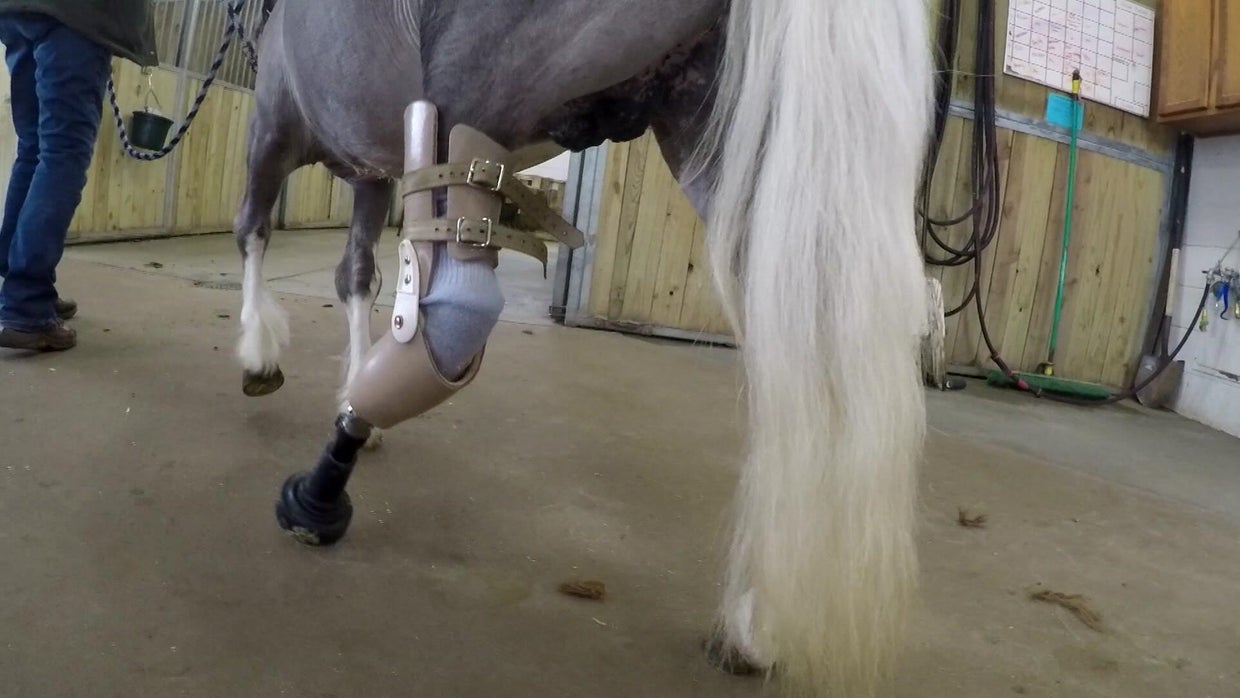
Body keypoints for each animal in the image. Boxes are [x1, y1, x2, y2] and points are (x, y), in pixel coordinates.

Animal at [231, 1, 934, 695]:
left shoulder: (275, 123)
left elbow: (254, 230)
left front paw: (261, 357)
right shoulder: (370, 174)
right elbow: (354, 276)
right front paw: (347, 383)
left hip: (465, 111)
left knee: (452, 307)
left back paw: (319, 494)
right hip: (729, 141)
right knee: (802, 371)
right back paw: (752, 626)